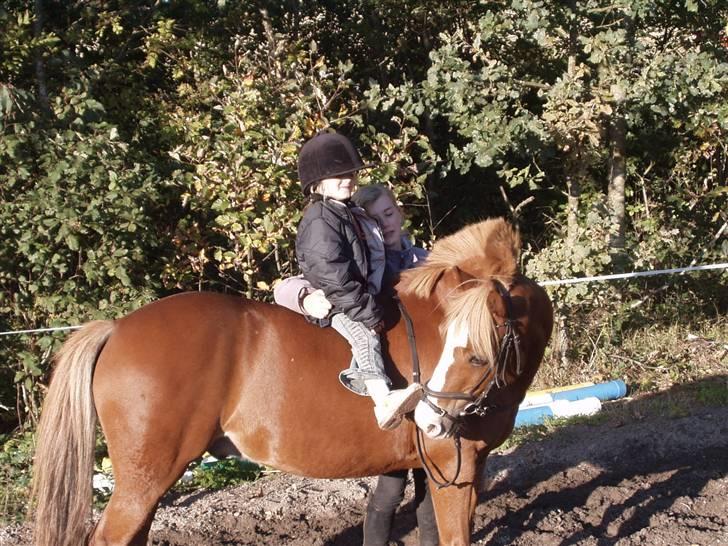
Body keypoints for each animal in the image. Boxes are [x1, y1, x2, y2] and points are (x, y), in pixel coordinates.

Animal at [31, 217, 553, 546]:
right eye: (461, 348)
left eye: (475, 353)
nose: (428, 418)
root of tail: (117, 327)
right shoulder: (453, 470)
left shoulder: (440, 469)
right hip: (145, 478)